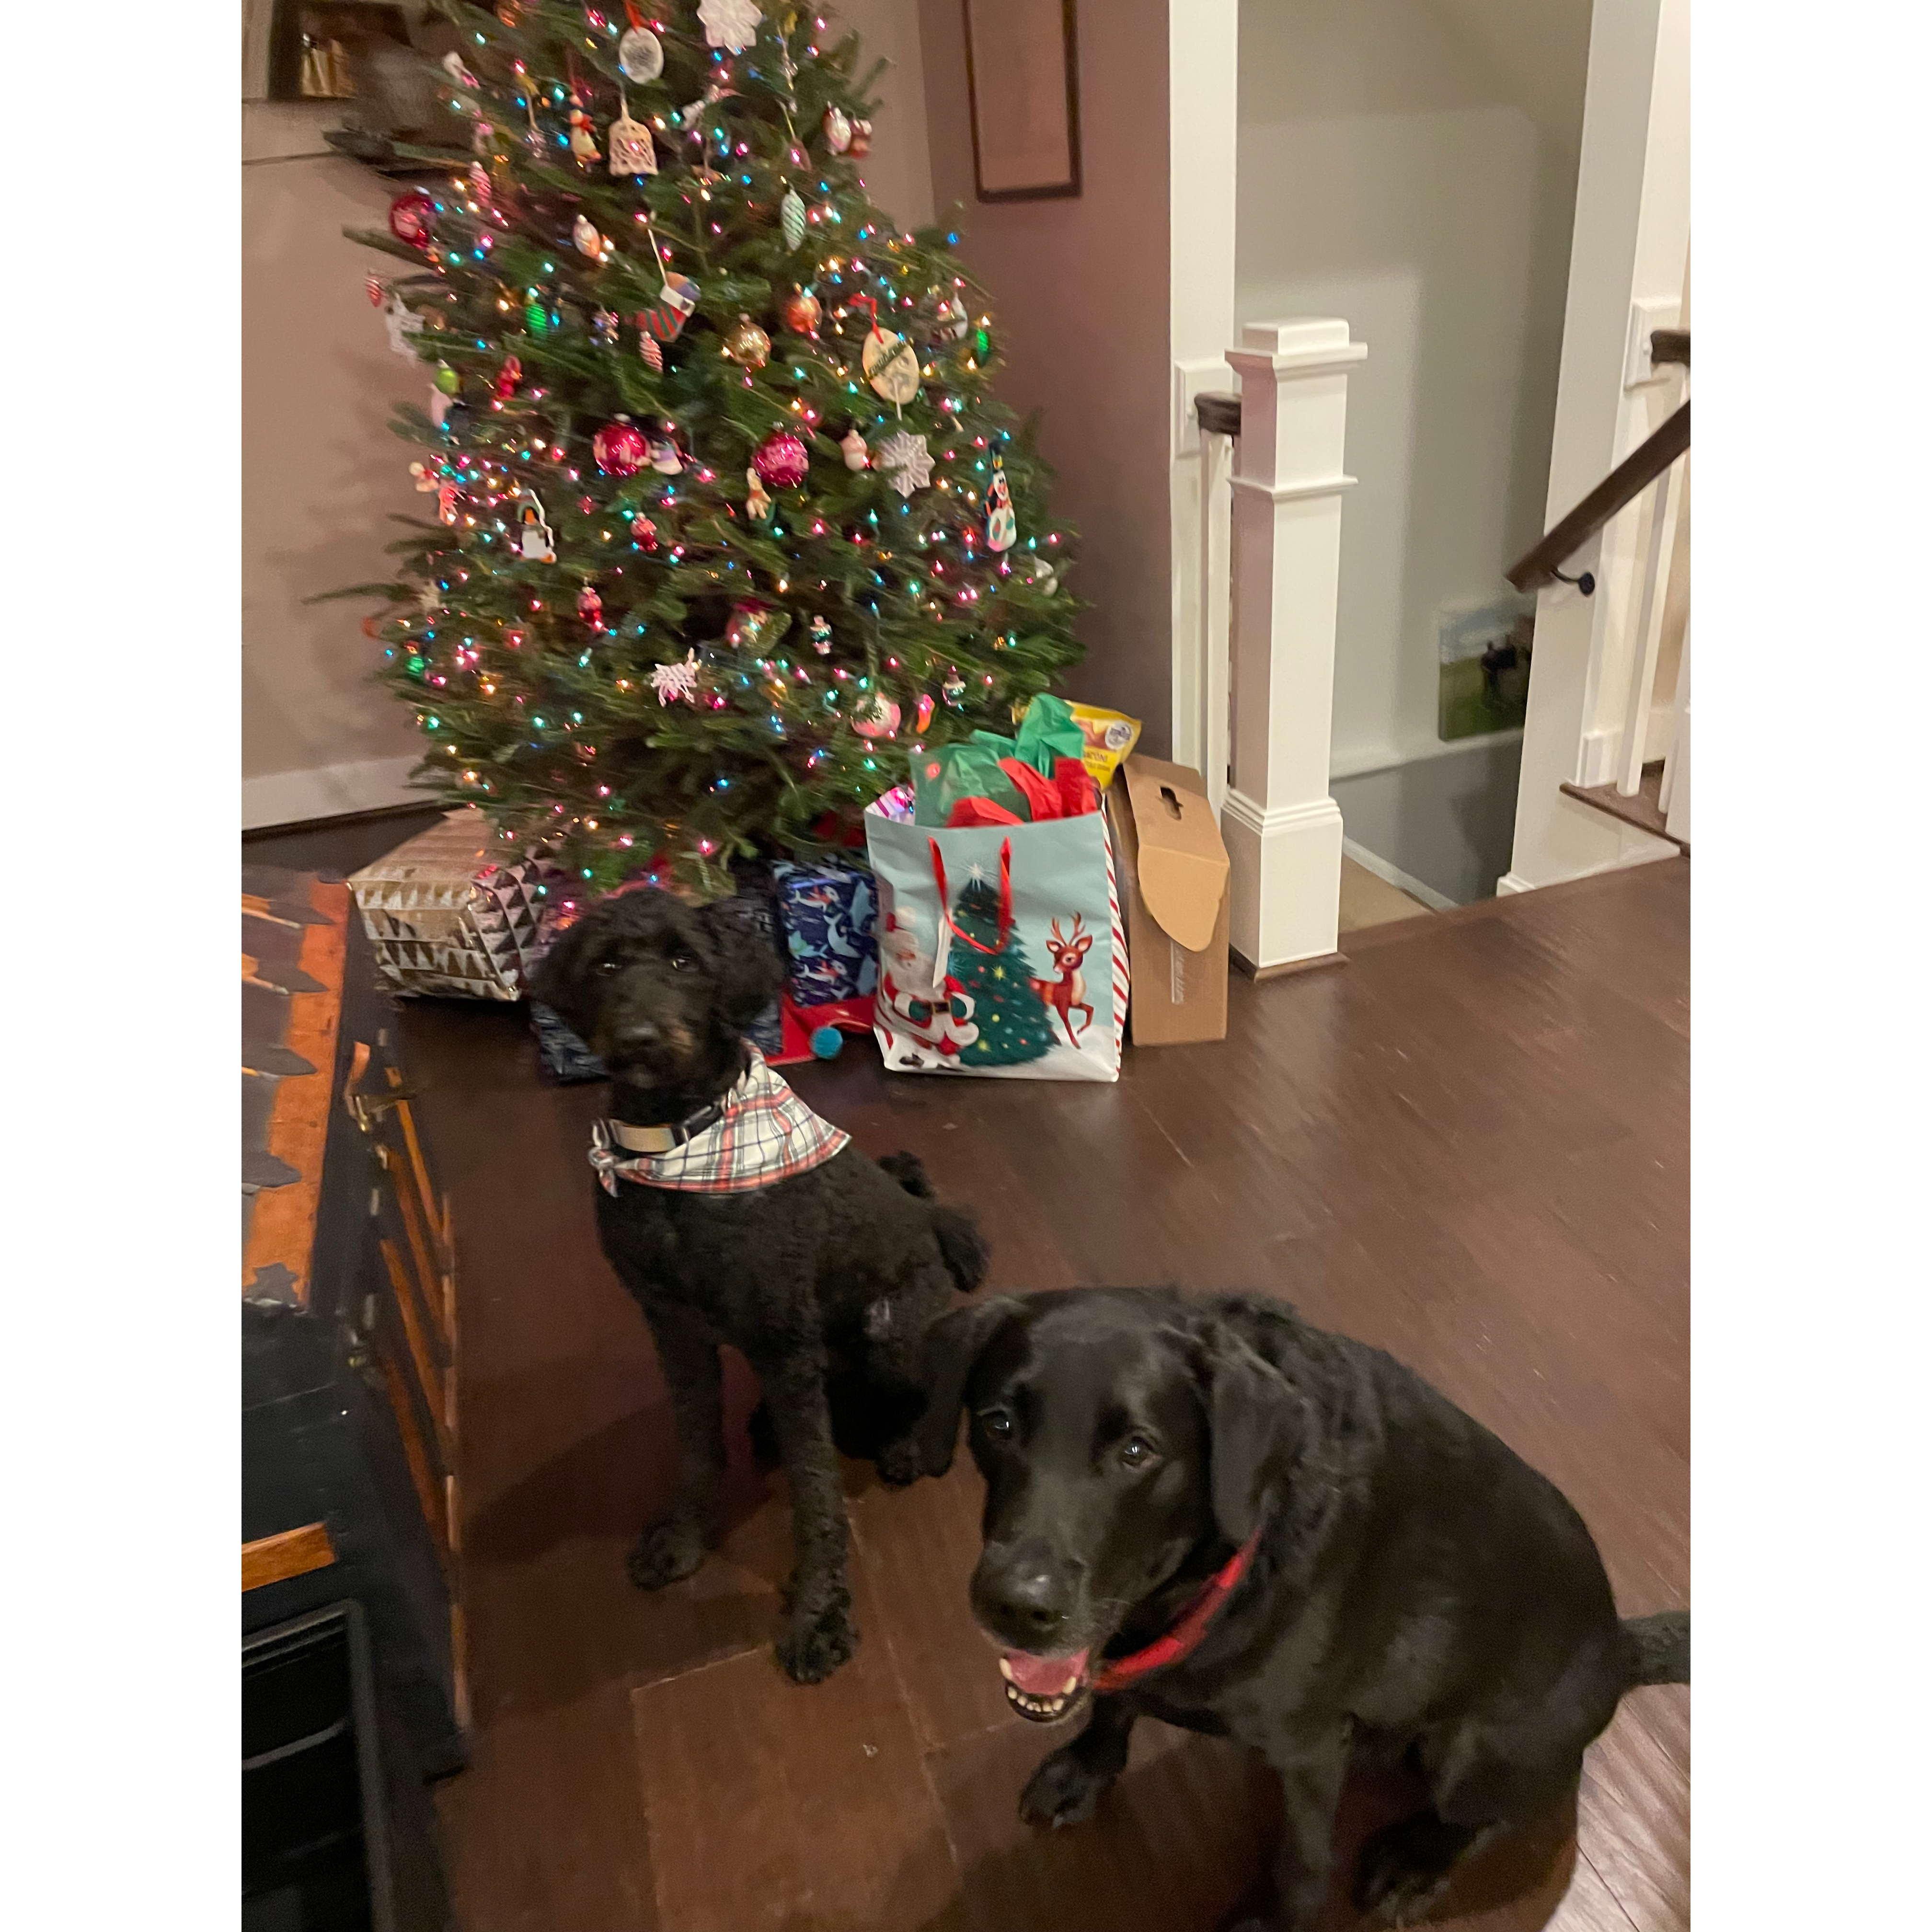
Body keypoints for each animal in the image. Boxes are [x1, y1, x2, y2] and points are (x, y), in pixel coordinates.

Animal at [533, 885, 989, 1677]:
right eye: (606, 965)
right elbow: (696, 1448)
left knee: (926, 1388)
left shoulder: (783, 1344)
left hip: (890, 1330)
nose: (642, 1038)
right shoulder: (674, 1328)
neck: (676, 1153)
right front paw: (684, 1539)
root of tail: (931, 1220)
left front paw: (819, 1616)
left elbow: (816, 1494)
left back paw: (903, 1444)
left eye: (685, 960)